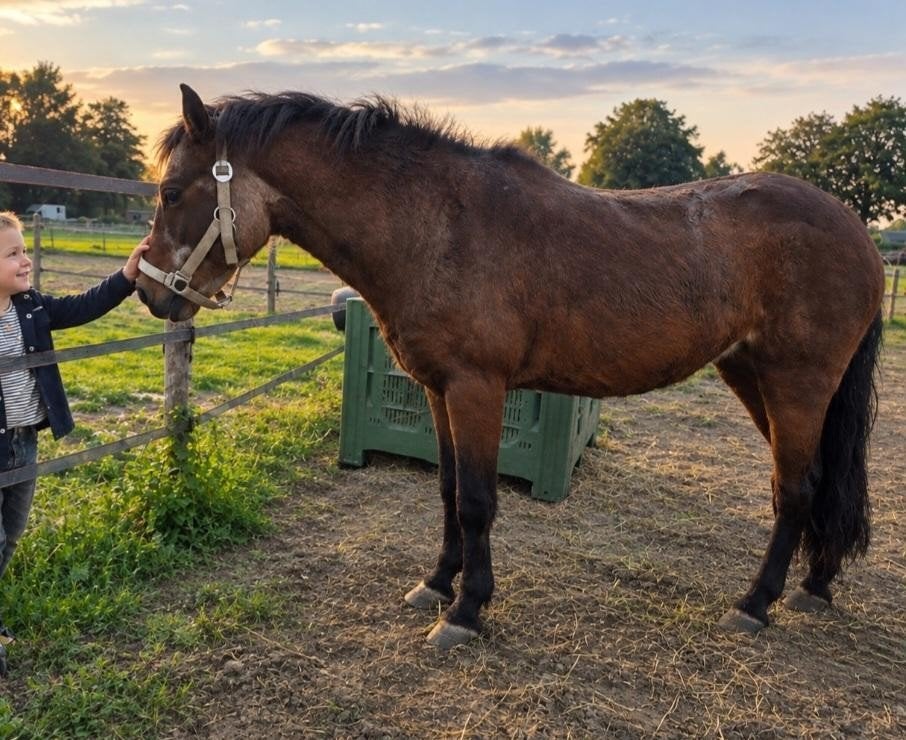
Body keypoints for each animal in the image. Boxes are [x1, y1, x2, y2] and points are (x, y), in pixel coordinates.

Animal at [137, 84, 885, 649]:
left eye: (171, 192)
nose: (145, 289)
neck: (438, 224)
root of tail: (859, 232)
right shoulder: (437, 389)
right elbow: (446, 490)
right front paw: (437, 584)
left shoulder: (477, 388)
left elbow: (477, 499)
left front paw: (466, 611)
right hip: (753, 377)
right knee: (820, 484)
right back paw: (814, 586)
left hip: (796, 384)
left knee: (794, 489)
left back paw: (755, 604)